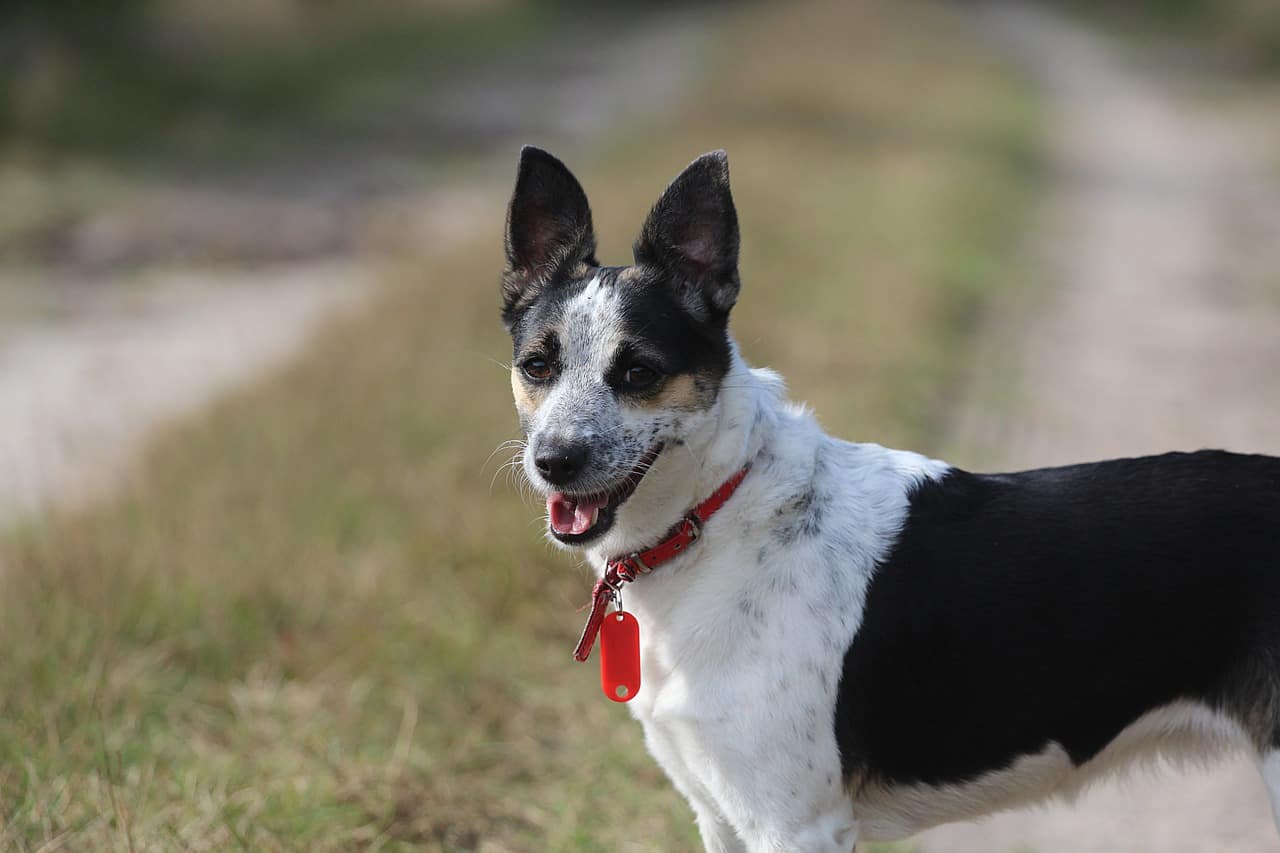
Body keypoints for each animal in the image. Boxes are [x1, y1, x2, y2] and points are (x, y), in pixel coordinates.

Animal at [496, 142, 1280, 845]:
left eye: (639, 372)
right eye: (537, 366)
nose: (554, 461)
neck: (718, 514)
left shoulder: (795, 825)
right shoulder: (720, 815)